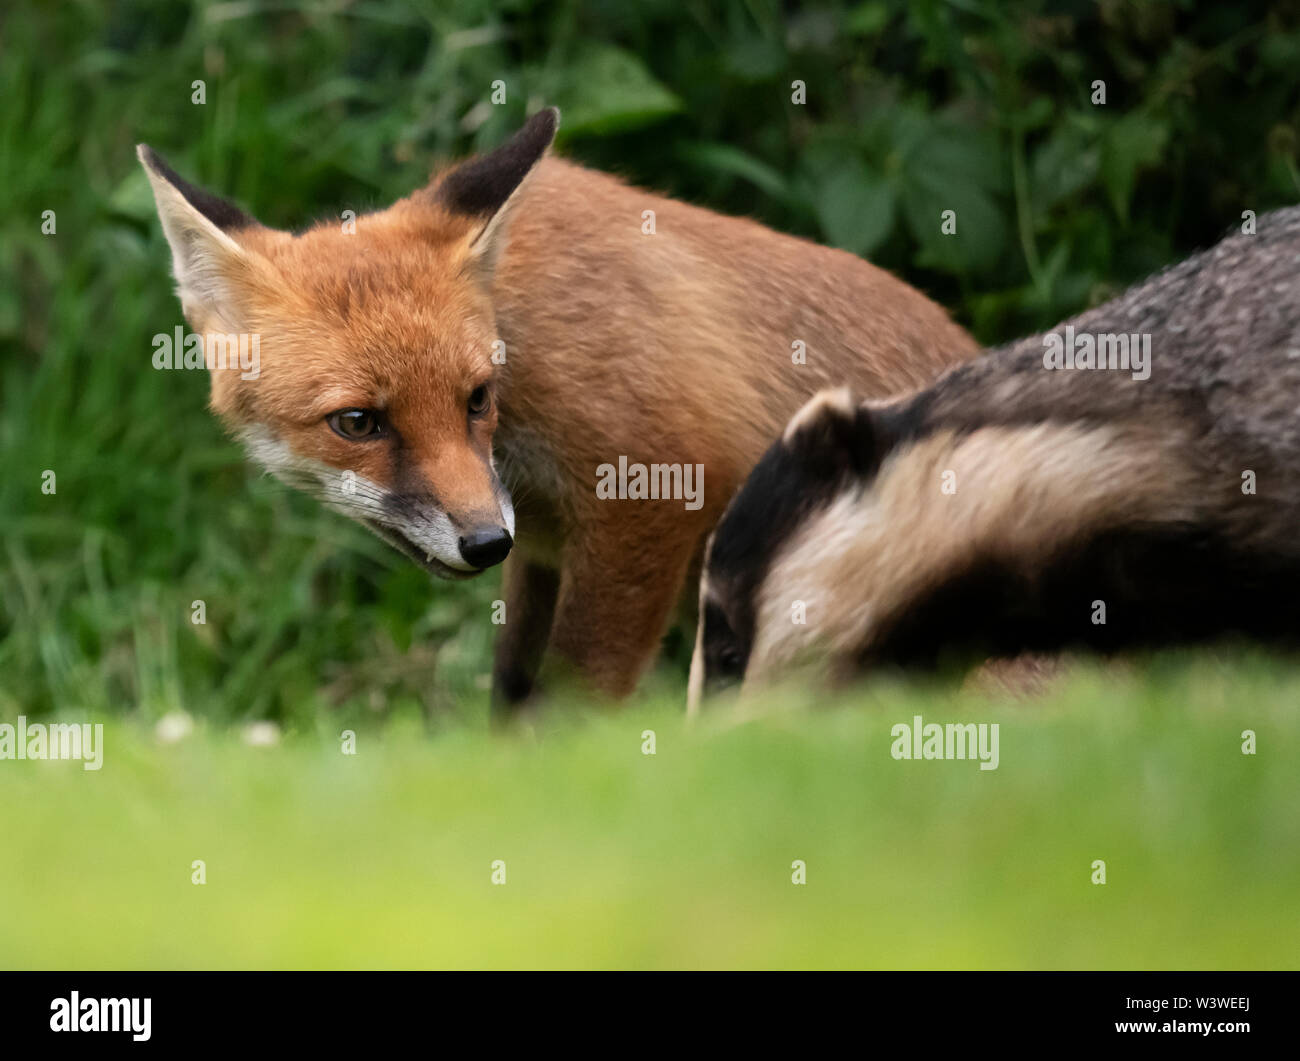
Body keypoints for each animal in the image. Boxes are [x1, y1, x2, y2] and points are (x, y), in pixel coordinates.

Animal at [138, 108, 978, 713]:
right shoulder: (541, 550)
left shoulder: (656, 487)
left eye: (477, 398)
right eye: (357, 422)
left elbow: (572, 702)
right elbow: (512, 701)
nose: (484, 543)